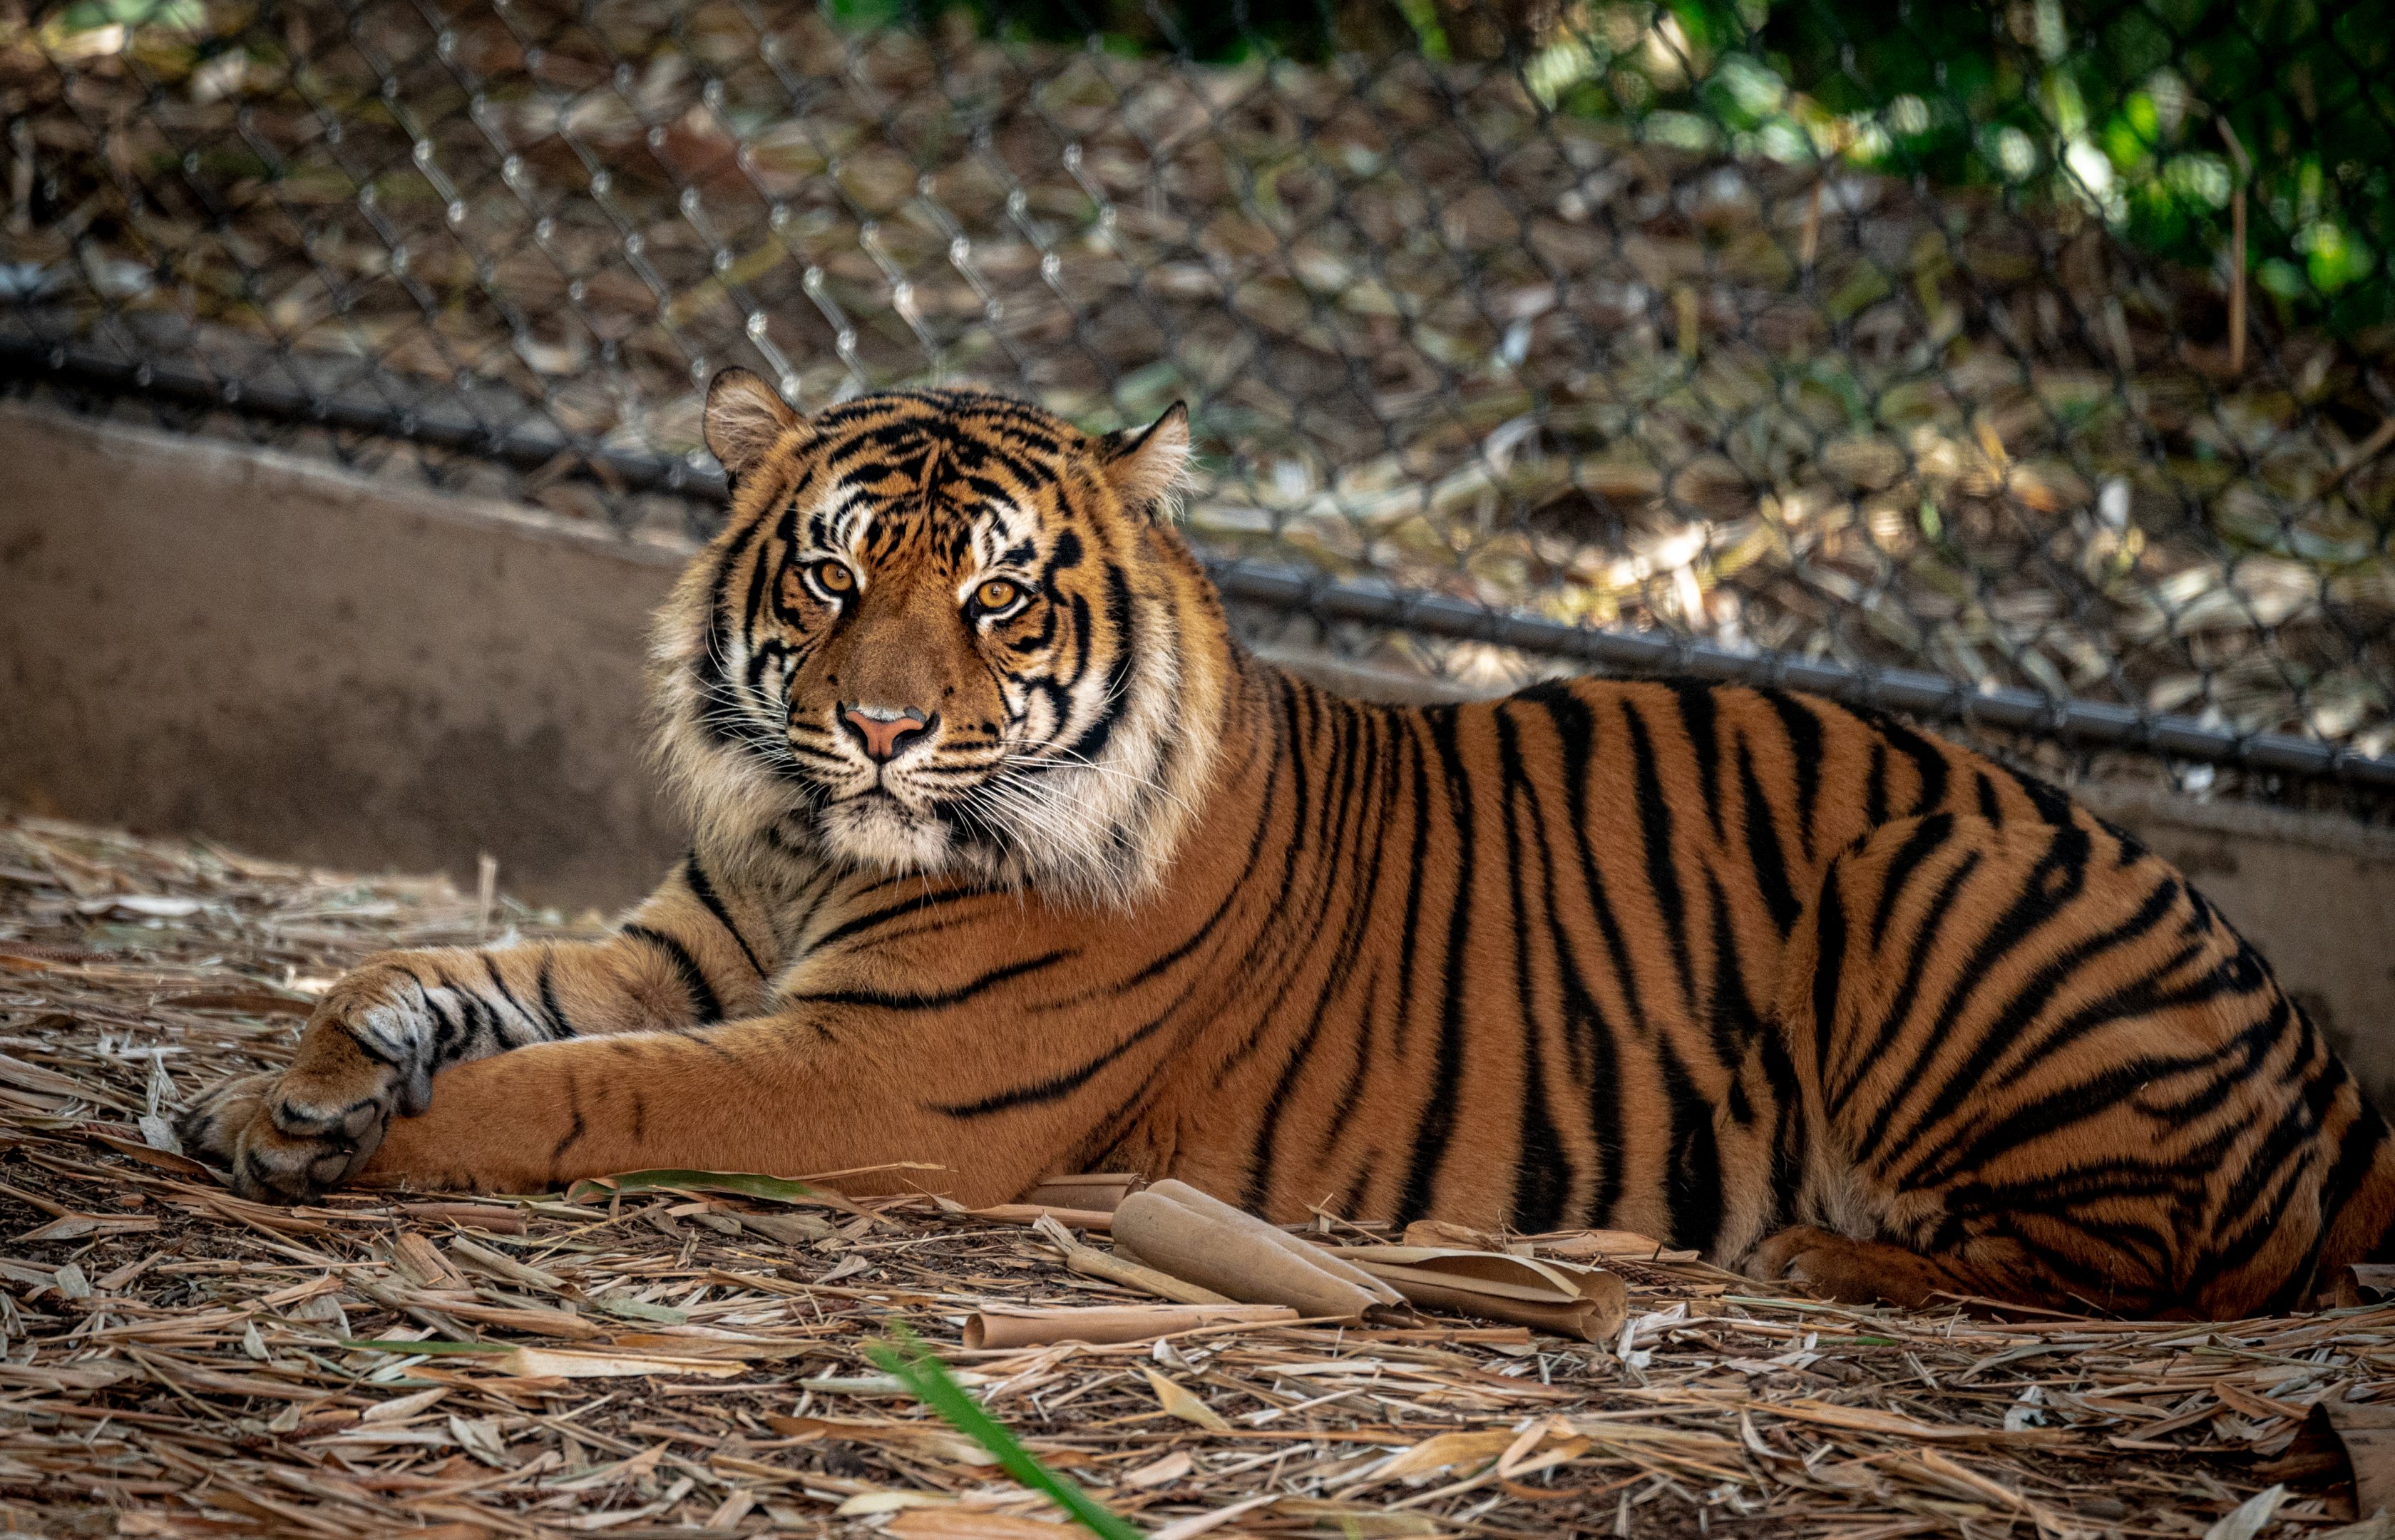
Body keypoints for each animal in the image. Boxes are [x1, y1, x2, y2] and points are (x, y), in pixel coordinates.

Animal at [178, 367, 2395, 1318]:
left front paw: (362, 1140)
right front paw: (273, 1087)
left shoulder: (870, 1080)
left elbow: (590, 1090)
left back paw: (1828, 1252)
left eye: (992, 597)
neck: (819, 844)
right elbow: (425, 974)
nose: (876, 725)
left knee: (2144, 1265)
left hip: (1930, 879)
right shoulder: (686, 947)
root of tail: (2314, 1043)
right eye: (825, 576)